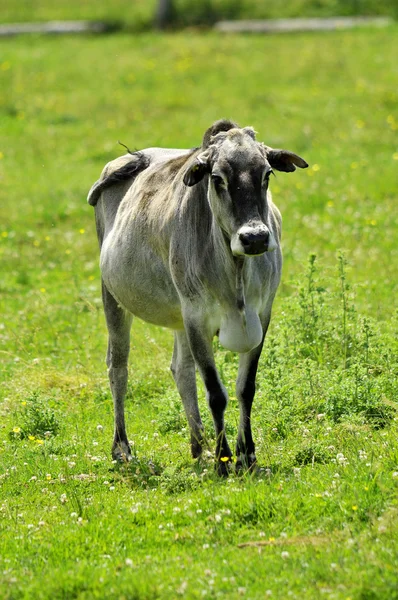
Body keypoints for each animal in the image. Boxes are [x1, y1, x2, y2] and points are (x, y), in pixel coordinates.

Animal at [88, 119, 308, 476]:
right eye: (217, 178)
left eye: (266, 175)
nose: (255, 238)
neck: (235, 277)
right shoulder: (198, 319)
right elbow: (216, 393)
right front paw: (224, 460)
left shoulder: (261, 315)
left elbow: (245, 388)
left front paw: (247, 455)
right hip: (114, 297)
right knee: (118, 367)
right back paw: (122, 448)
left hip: (178, 314)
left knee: (181, 370)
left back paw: (198, 444)